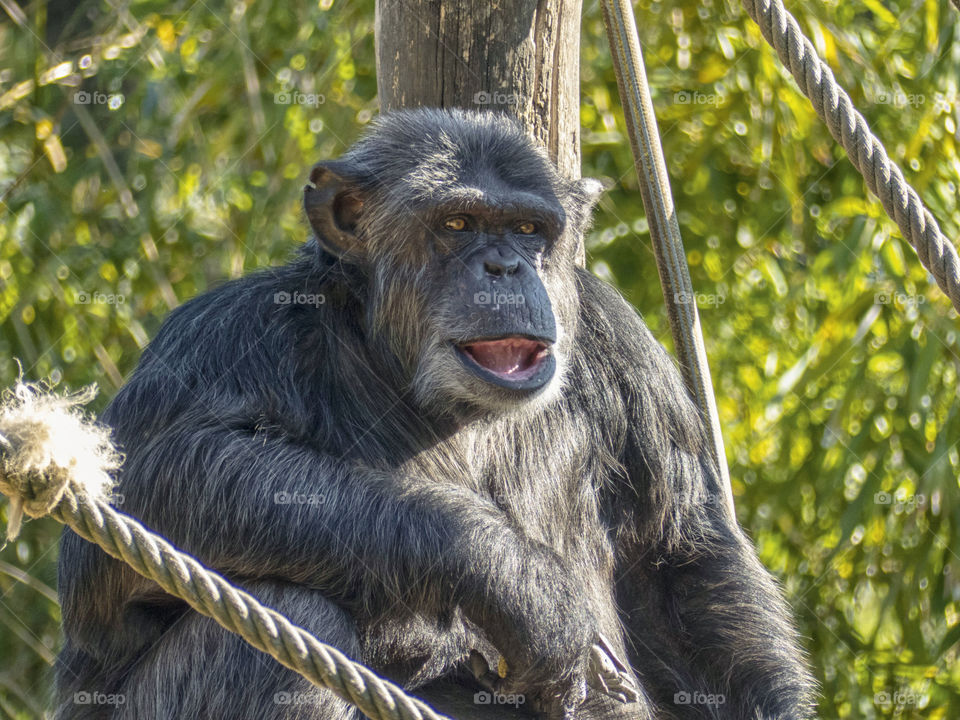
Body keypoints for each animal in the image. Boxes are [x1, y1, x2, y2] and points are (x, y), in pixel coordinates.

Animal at [55, 108, 815, 719]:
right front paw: (523, 587)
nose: (505, 266)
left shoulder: (617, 336)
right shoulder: (222, 335)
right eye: (456, 223)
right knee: (289, 615)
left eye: (529, 229)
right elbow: (149, 483)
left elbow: (679, 554)